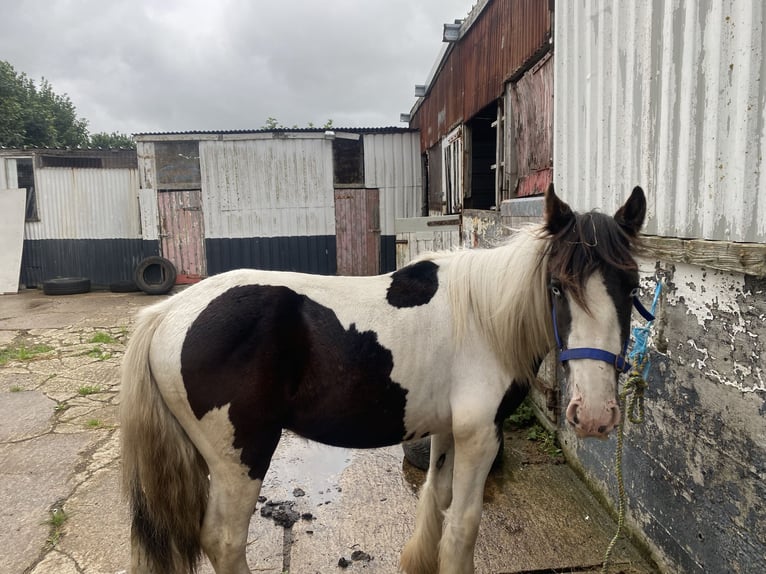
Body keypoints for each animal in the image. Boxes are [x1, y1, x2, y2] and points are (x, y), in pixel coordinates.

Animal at [120, 186, 648, 574]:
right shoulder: (480, 435)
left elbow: (436, 499)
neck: (484, 316)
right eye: (557, 286)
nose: (595, 415)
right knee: (224, 541)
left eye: (631, 287)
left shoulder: (448, 430)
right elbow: (463, 525)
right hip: (240, 458)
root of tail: (166, 313)